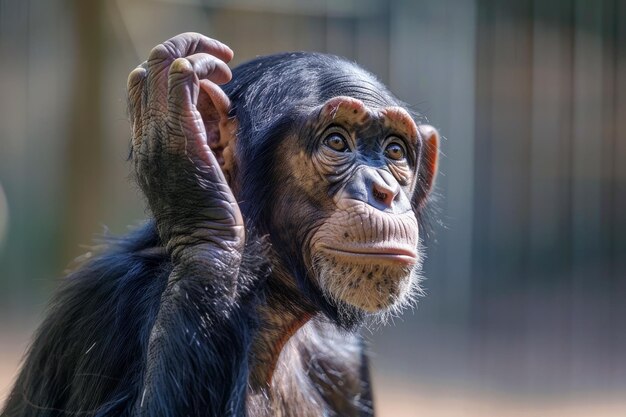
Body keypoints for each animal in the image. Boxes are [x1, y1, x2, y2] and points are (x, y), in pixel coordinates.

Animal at [2, 33, 436, 416]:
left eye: (394, 151)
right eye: (336, 142)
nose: (383, 191)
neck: (270, 313)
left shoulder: (345, 359)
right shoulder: (107, 300)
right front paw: (197, 198)